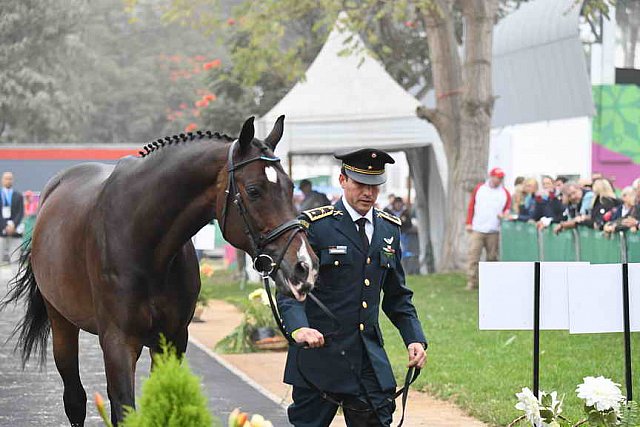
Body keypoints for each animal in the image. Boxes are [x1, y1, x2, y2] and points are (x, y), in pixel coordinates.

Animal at [1, 115, 318, 426]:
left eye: (291, 187)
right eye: (253, 191)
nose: (305, 266)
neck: (143, 242)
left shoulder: (173, 340)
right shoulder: (118, 342)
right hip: (62, 322)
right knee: (75, 399)